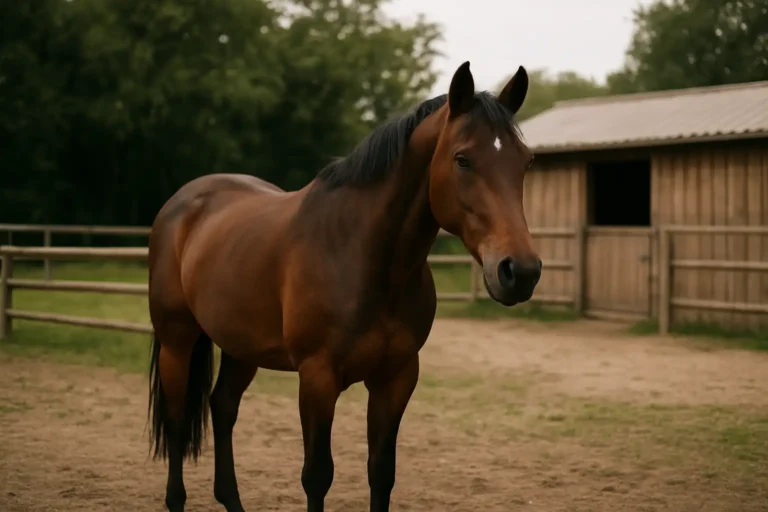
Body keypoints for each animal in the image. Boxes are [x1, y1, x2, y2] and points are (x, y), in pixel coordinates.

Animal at [146, 61, 541, 512]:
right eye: (463, 159)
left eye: (526, 162)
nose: (520, 271)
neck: (362, 258)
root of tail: (182, 203)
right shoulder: (318, 378)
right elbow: (317, 476)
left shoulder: (396, 377)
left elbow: (381, 473)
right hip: (177, 342)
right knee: (177, 422)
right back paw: (177, 497)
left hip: (241, 347)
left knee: (222, 407)